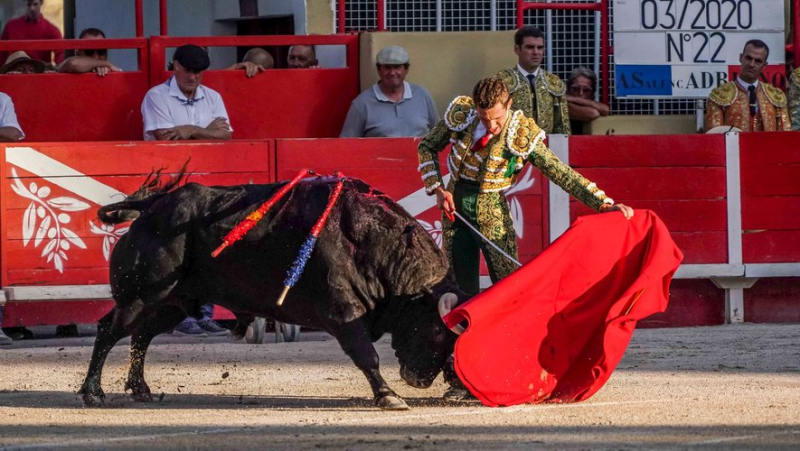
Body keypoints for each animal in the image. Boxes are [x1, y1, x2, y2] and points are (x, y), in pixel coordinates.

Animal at [78, 177, 466, 414]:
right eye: (435, 329)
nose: (419, 380)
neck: (371, 244)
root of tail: (152, 207)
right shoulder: (342, 311)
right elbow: (366, 355)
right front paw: (389, 396)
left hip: (173, 302)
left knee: (141, 335)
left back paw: (139, 388)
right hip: (140, 296)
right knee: (109, 330)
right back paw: (93, 393)